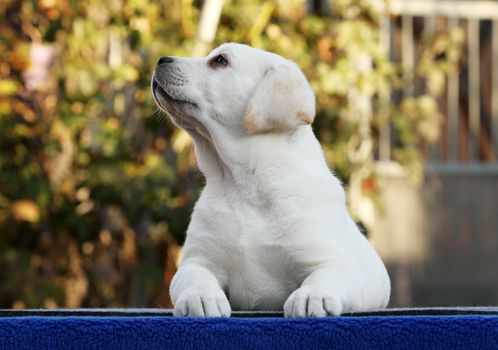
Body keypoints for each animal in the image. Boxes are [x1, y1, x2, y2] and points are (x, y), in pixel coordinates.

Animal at [151, 43, 390, 318]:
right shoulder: (197, 260)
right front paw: (200, 297)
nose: (160, 60)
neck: (245, 185)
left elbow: (325, 277)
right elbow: (196, 277)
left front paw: (312, 297)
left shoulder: (334, 262)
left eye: (220, 61)